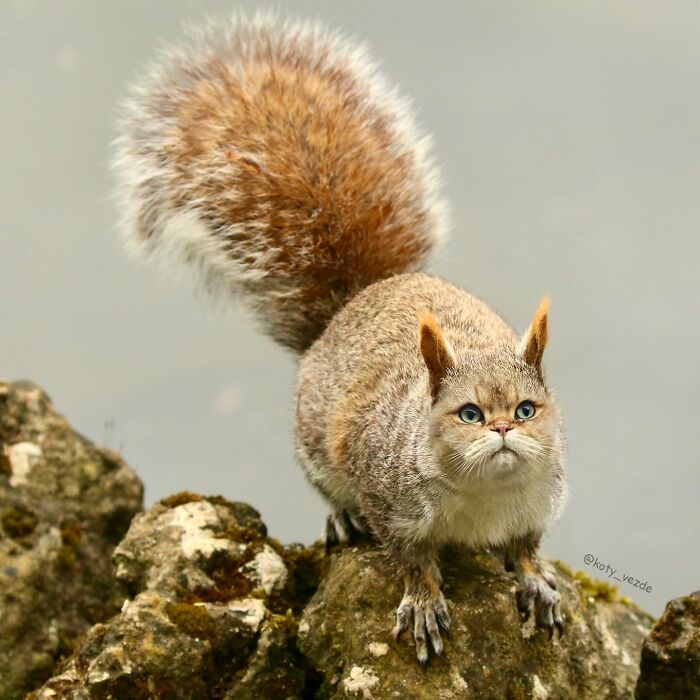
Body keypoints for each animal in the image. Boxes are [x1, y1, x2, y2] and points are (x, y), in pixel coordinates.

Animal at [113, 13, 568, 663]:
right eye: (469, 414)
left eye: (529, 409)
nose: (505, 429)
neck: (485, 495)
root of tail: (352, 303)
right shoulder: (389, 498)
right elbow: (410, 558)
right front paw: (424, 601)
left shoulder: (536, 507)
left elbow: (527, 548)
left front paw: (536, 582)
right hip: (316, 449)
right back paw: (341, 520)